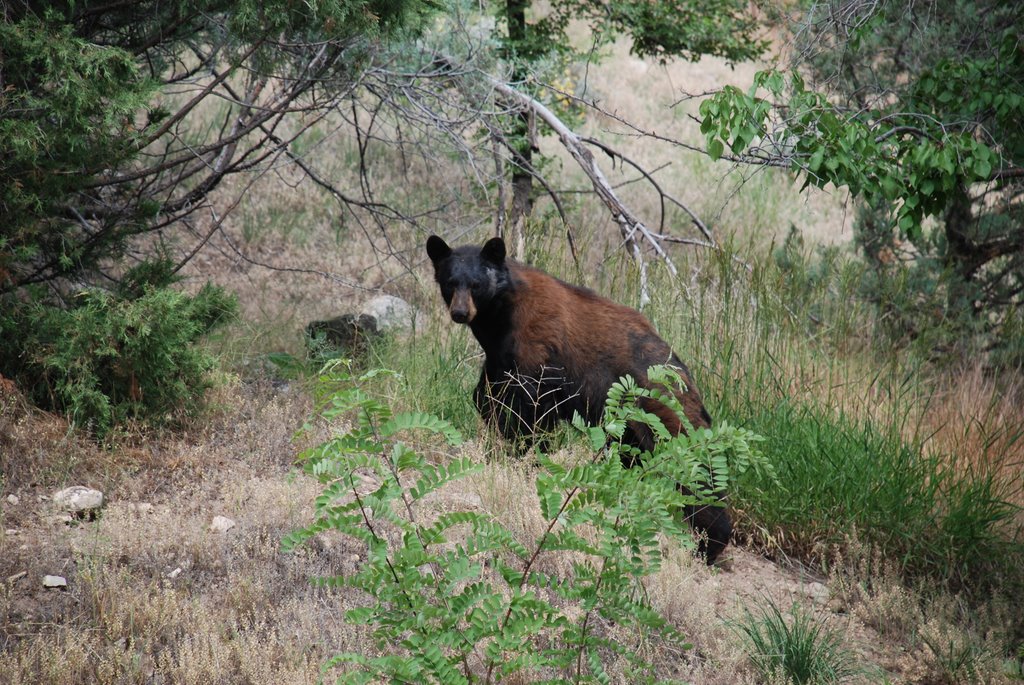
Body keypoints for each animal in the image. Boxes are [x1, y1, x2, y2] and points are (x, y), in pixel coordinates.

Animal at [428, 232, 733, 565]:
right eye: (450, 282)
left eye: (476, 285)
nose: (460, 313)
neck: (501, 317)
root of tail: (683, 371)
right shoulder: (499, 359)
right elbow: (487, 398)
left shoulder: (538, 352)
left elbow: (529, 411)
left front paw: (524, 455)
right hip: (630, 428)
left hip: (662, 409)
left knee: (696, 473)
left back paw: (710, 545)